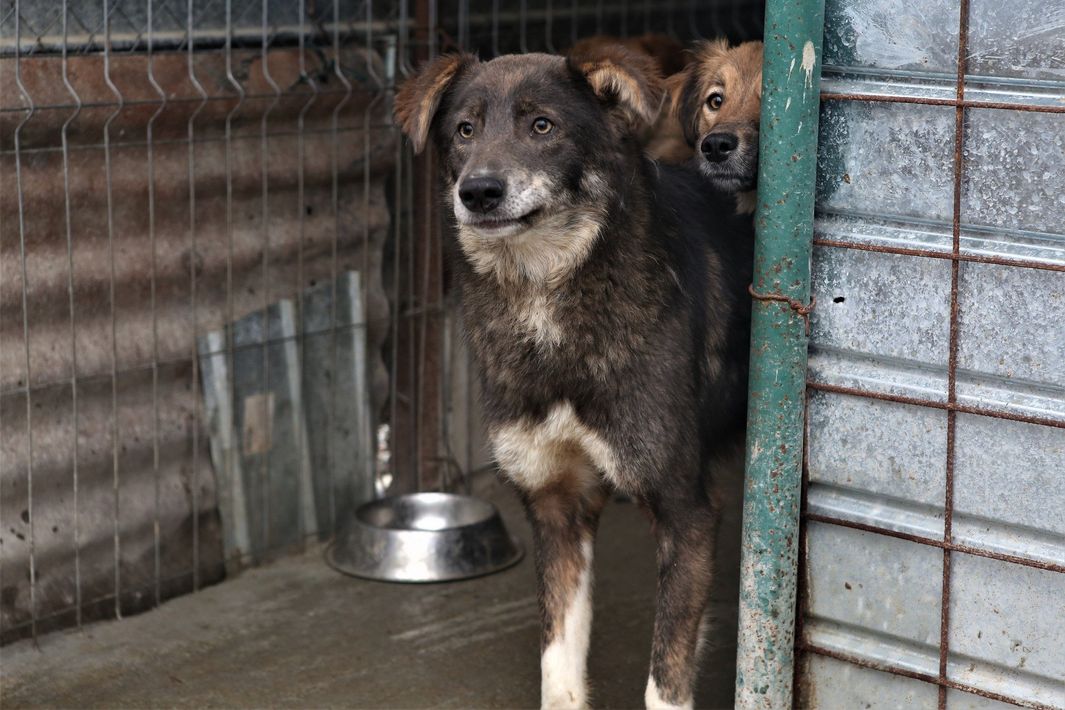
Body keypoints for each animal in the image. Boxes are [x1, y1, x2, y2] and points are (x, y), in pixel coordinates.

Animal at [395, 45, 754, 709]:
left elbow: (665, 677)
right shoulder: (556, 505)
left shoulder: (685, 508)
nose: (478, 191)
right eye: (464, 130)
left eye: (543, 126)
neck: (546, 300)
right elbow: (557, 663)